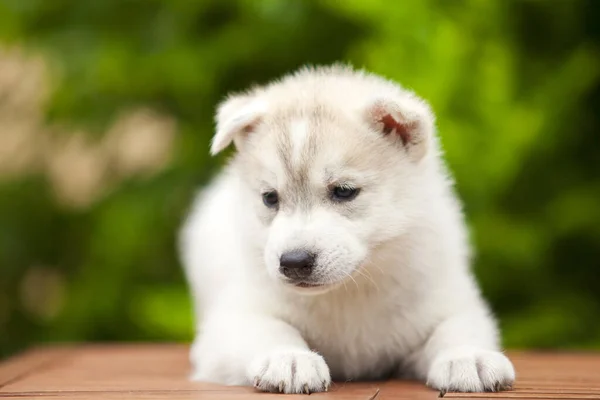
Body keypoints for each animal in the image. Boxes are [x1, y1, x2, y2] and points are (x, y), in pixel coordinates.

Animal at [179, 65, 516, 394]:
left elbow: (455, 329)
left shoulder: (450, 300)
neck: (348, 292)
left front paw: (468, 358)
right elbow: (269, 328)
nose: (294, 262)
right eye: (270, 198)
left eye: (343, 191)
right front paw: (289, 358)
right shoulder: (231, 319)